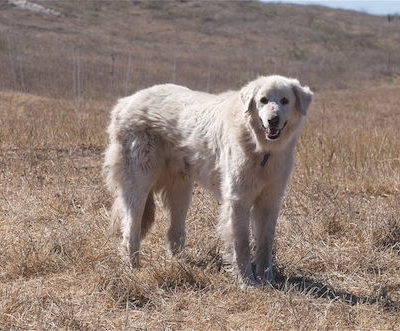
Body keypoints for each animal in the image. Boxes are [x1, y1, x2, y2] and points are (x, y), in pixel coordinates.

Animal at [103, 75, 312, 288]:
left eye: (285, 101)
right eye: (263, 100)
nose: (273, 120)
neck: (260, 147)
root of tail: (125, 102)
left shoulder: (270, 201)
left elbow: (265, 243)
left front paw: (268, 280)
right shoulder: (238, 200)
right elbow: (242, 244)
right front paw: (247, 282)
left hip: (181, 190)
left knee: (174, 232)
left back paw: (180, 264)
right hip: (139, 184)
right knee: (131, 231)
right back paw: (134, 268)